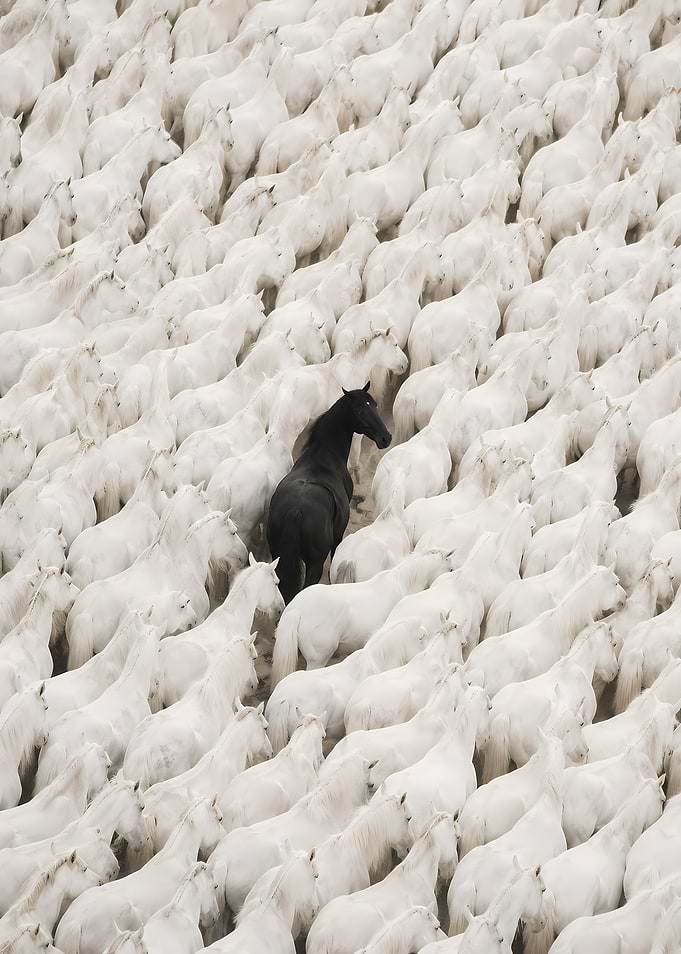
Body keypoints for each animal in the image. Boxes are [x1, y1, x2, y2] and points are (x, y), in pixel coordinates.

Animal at [266, 385, 391, 606]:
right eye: (359, 411)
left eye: (374, 405)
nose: (385, 438)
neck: (323, 456)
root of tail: (295, 511)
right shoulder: (338, 535)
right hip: (314, 564)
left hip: (278, 556)